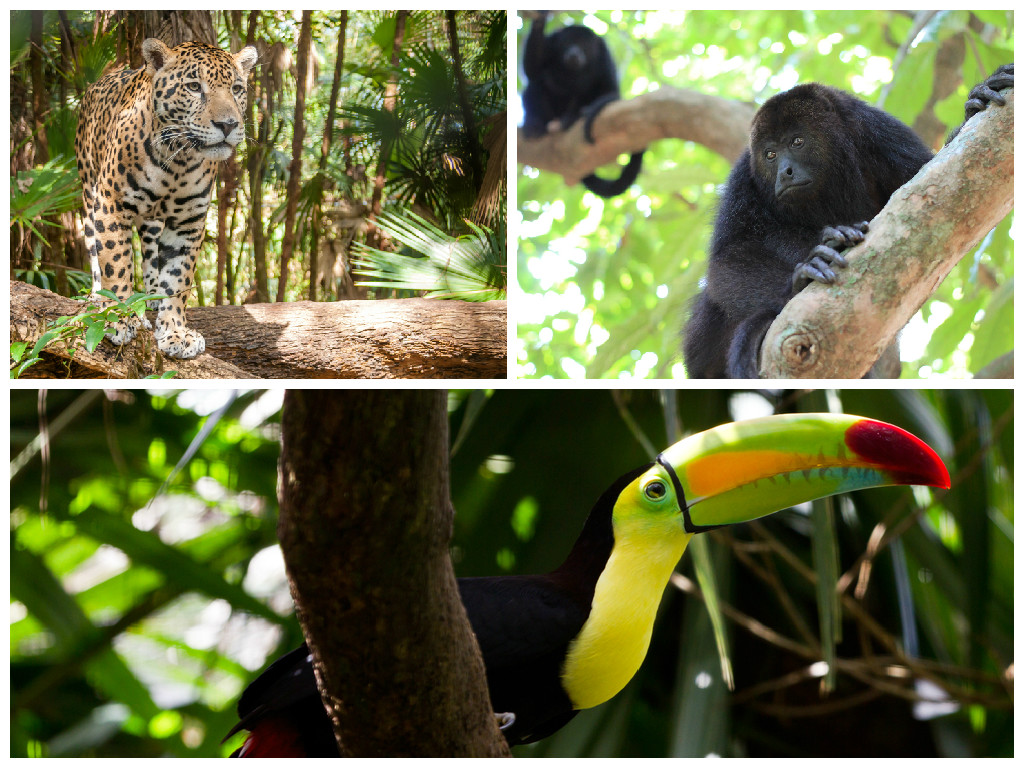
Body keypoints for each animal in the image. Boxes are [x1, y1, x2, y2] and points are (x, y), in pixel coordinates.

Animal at [520, 11, 638, 196]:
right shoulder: (552, 42)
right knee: (537, 84)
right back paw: (534, 124)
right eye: (568, 43)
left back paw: (571, 118)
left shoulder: (605, 56)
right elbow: (532, 70)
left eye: (584, 45)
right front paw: (540, 19)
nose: (574, 52)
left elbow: (610, 91)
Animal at [684, 65, 1011, 378]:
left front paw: (975, 103)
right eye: (770, 154)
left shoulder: (879, 132)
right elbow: (727, 263)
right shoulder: (743, 177)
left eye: (797, 141)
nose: (785, 172)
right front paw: (802, 277)